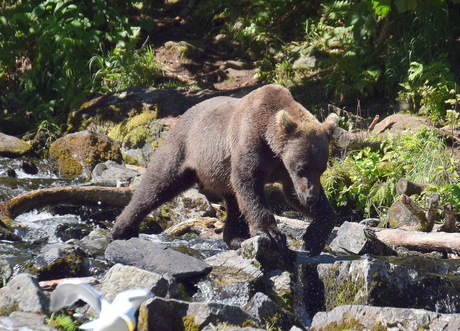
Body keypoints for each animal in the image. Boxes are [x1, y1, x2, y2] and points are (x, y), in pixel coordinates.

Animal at [111, 84, 338, 258]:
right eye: (302, 167)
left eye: (321, 169)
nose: (311, 198)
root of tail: (184, 114)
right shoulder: (251, 143)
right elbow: (249, 184)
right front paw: (272, 235)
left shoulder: (283, 169)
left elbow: (293, 195)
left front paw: (312, 238)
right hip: (185, 150)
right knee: (157, 184)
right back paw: (122, 229)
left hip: (220, 173)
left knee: (234, 204)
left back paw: (236, 238)